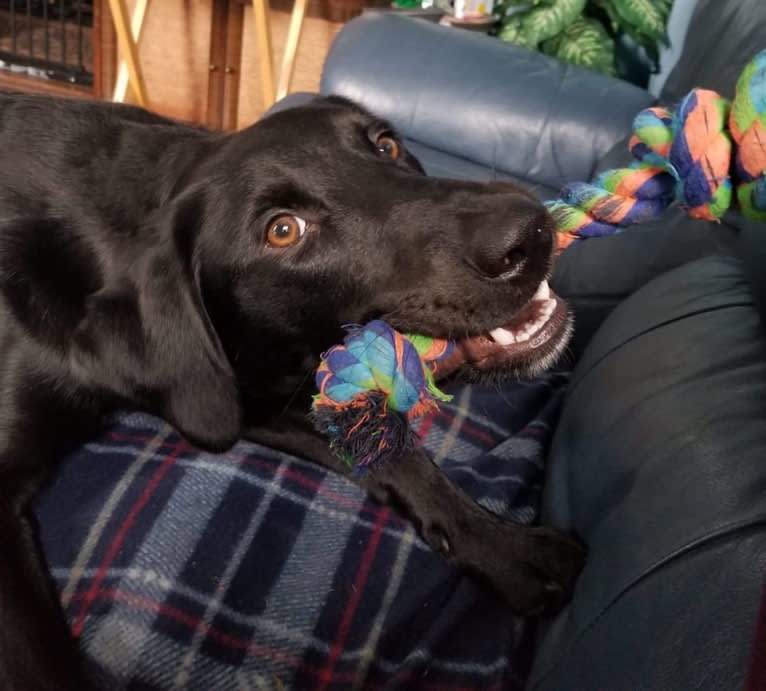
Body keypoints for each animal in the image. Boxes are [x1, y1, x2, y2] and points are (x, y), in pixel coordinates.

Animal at [0, 92, 584, 691]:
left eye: (386, 145)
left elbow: (394, 450)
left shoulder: (235, 389)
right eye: (283, 231)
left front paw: (504, 547)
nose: (530, 230)